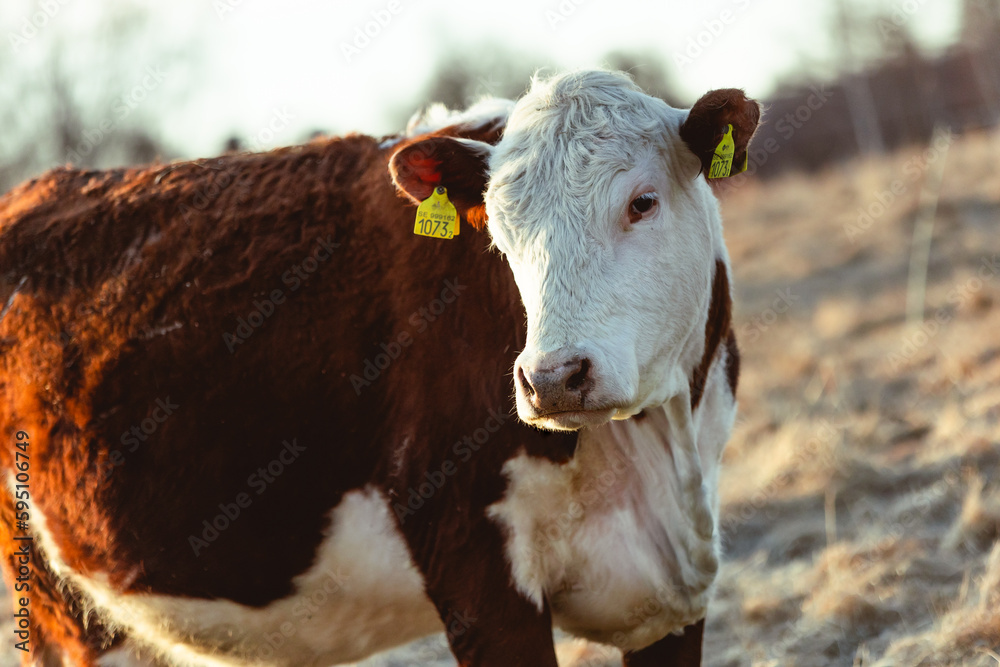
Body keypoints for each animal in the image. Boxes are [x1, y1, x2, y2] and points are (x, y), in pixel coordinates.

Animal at [0, 69, 758, 666]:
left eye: (643, 201)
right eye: (501, 230)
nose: (552, 378)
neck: (660, 447)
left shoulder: (671, 595)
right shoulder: (475, 567)